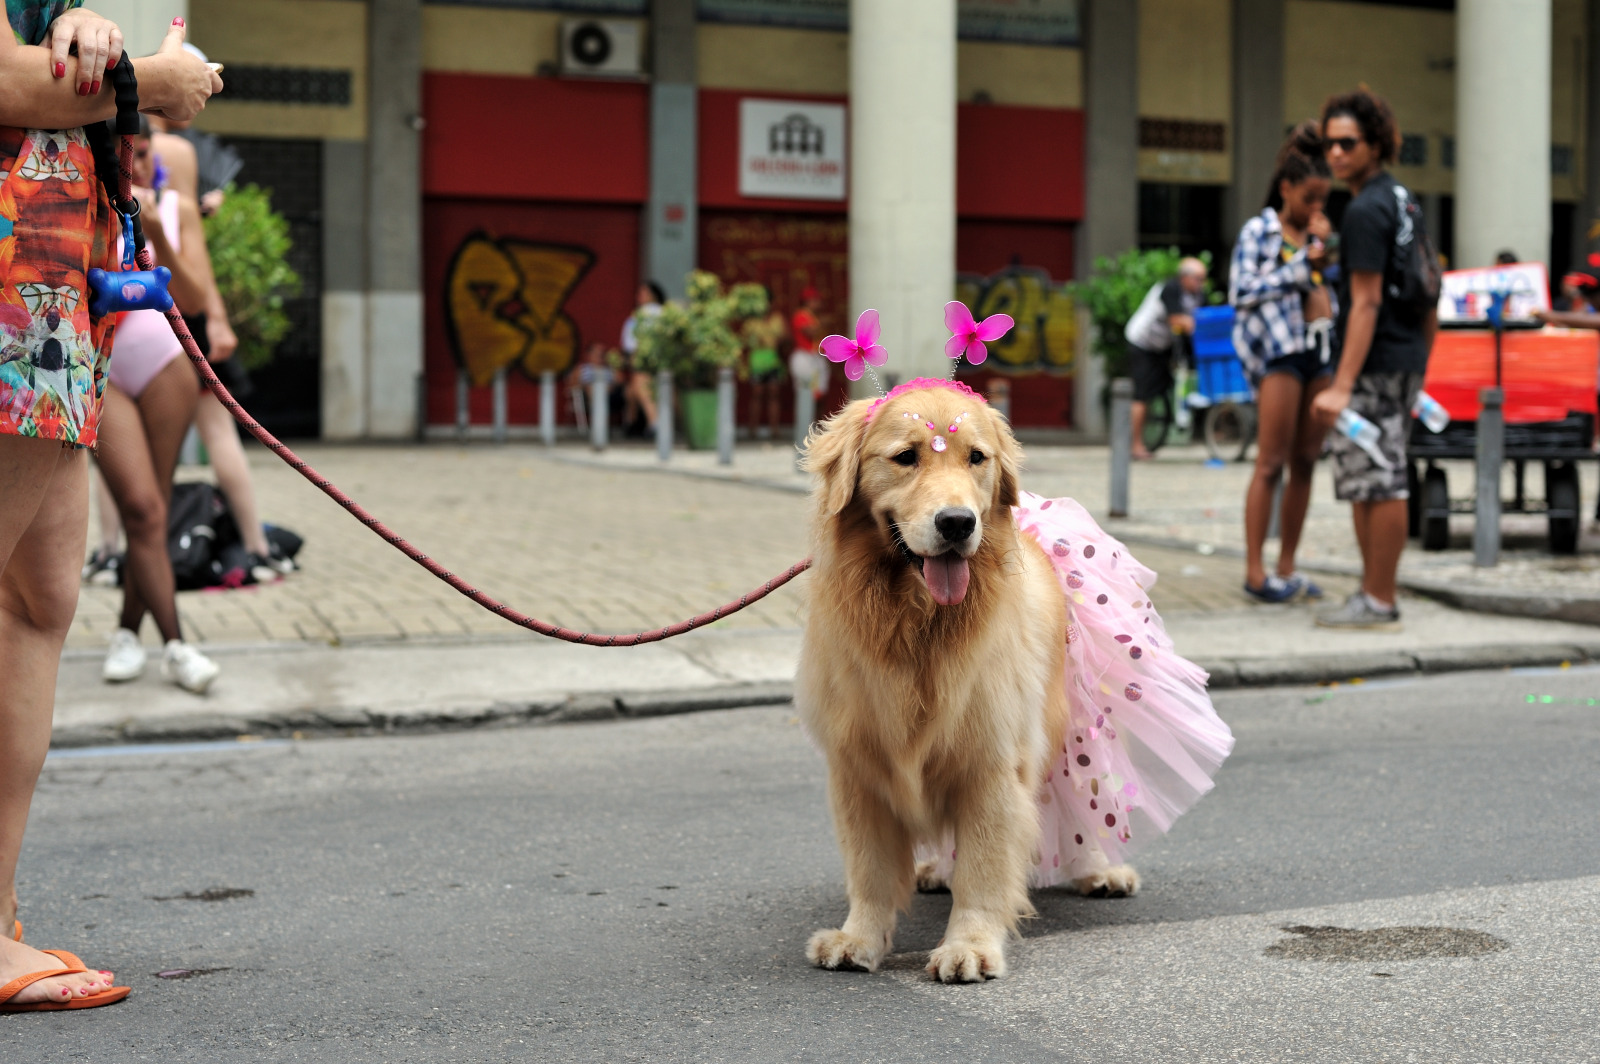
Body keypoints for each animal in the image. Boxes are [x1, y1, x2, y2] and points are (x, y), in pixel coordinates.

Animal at [790, 379, 1139, 979]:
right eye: (905, 457)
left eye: (977, 458)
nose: (957, 523)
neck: (915, 621)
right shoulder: (857, 765)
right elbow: (870, 868)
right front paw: (859, 938)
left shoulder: (991, 764)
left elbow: (984, 868)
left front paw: (970, 946)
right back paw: (935, 868)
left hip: (1069, 733)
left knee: (1085, 804)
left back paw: (1099, 869)